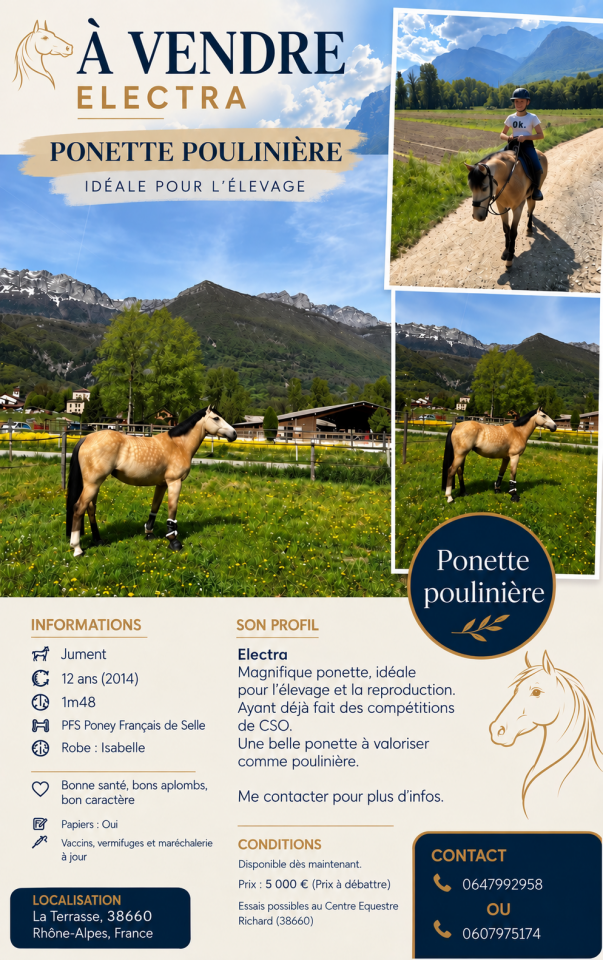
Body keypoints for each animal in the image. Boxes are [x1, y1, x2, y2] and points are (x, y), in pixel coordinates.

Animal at [66, 407, 236, 557]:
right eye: (216, 418)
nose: (234, 433)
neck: (179, 444)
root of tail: (86, 438)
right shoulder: (174, 482)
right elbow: (172, 511)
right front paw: (173, 541)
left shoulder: (161, 484)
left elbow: (155, 508)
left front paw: (149, 534)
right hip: (93, 483)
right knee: (79, 508)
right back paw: (77, 549)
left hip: (94, 484)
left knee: (90, 508)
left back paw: (98, 540)